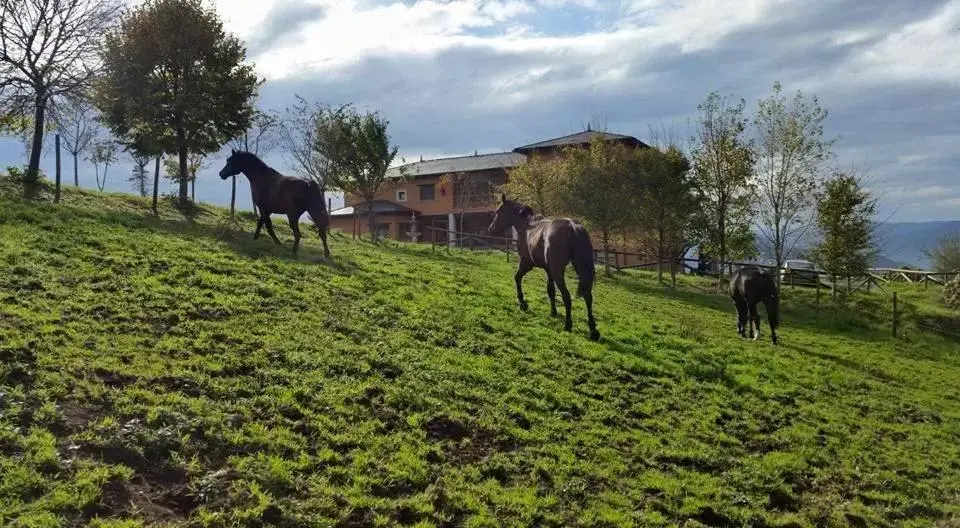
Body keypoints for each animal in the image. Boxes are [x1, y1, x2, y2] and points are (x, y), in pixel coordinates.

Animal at [488, 195, 600, 342]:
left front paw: (523, 303)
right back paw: (593, 331)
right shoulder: (548, 270)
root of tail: (573, 227)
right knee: (588, 297)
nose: (491, 229)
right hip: (579, 268)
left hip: (559, 271)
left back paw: (568, 325)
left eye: (498, 212)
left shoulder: (527, 263)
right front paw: (553, 312)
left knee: (566, 296)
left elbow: (517, 277)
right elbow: (550, 291)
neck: (528, 227)